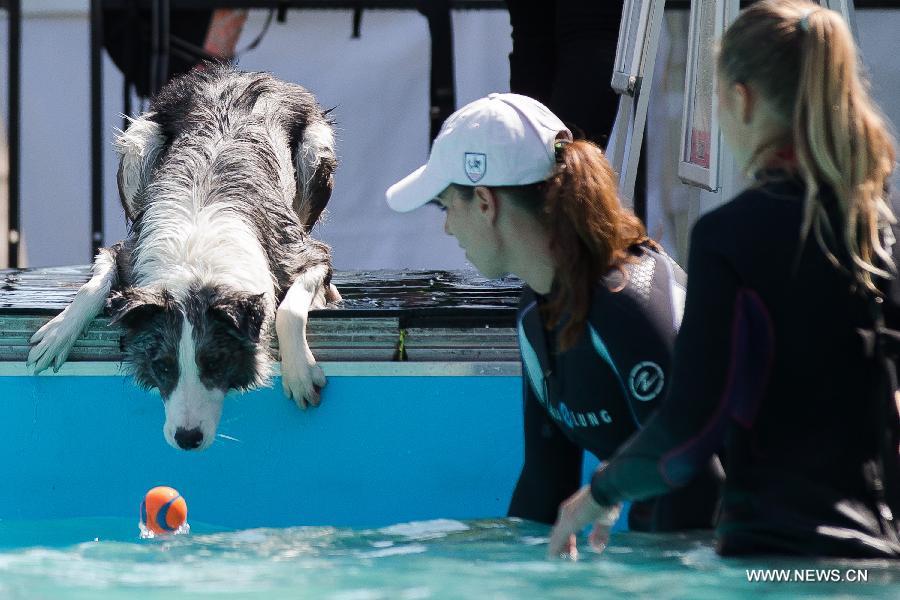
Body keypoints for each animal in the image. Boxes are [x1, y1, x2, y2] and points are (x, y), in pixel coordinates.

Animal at [26, 64, 342, 450]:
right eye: (163, 367)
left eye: (215, 364)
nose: (187, 439)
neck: (196, 260)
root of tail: (236, 71)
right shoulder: (128, 250)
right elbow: (96, 281)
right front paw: (58, 332)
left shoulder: (302, 253)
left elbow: (290, 307)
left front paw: (298, 373)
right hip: (138, 141)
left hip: (316, 150)